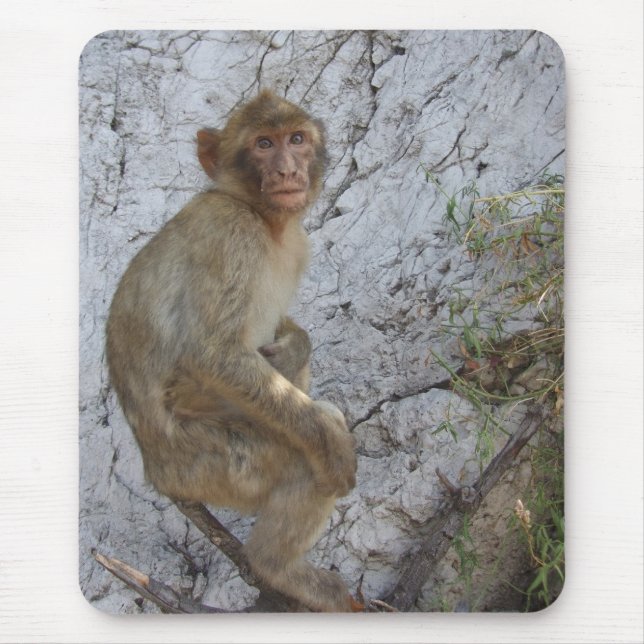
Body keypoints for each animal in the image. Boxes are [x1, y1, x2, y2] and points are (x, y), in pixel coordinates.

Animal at [105, 90, 357, 612]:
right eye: (263, 144)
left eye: (295, 139)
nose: (286, 170)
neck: (259, 215)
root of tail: (158, 473)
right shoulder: (229, 232)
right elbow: (212, 354)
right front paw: (331, 441)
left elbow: (283, 336)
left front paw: (295, 345)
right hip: (214, 464)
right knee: (299, 459)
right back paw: (275, 567)